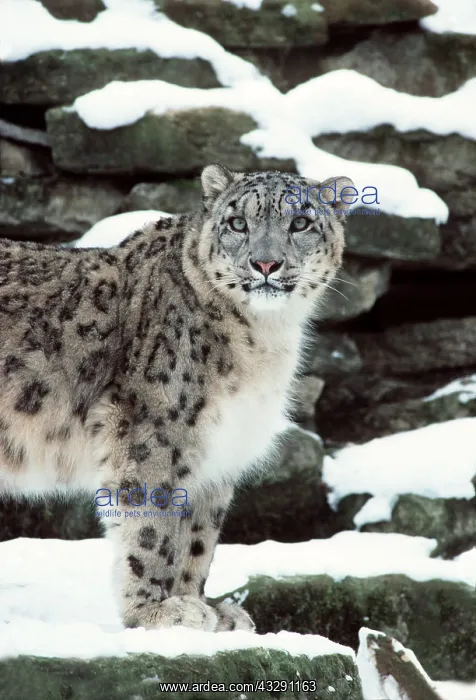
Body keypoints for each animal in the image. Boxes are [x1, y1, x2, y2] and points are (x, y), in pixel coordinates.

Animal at [0, 164, 353, 632]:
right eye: (237, 222)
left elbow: (199, 537)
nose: (265, 263)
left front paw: (207, 608)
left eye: (300, 223)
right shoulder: (156, 429)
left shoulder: (220, 449)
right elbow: (153, 525)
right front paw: (156, 611)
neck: (264, 340)